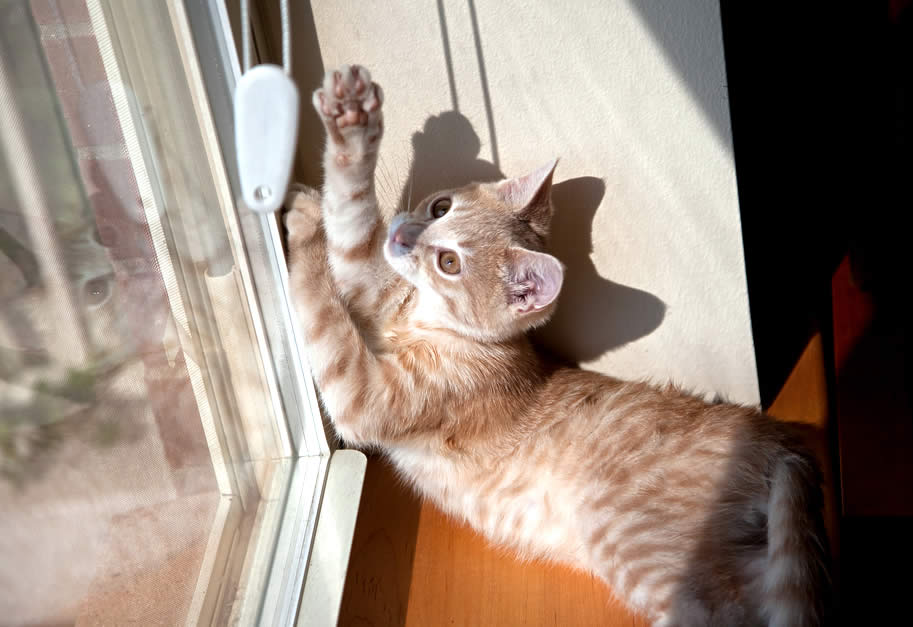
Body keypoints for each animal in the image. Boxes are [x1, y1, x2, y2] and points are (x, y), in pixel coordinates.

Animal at [288, 65, 832, 627]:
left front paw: (302, 224)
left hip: (648, 553)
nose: (401, 236)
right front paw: (346, 129)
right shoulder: (371, 287)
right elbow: (352, 222)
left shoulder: (366, 397)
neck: (431, 322)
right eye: (440, 207)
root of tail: (780, 440)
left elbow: (325, 315)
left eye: (449, 263)